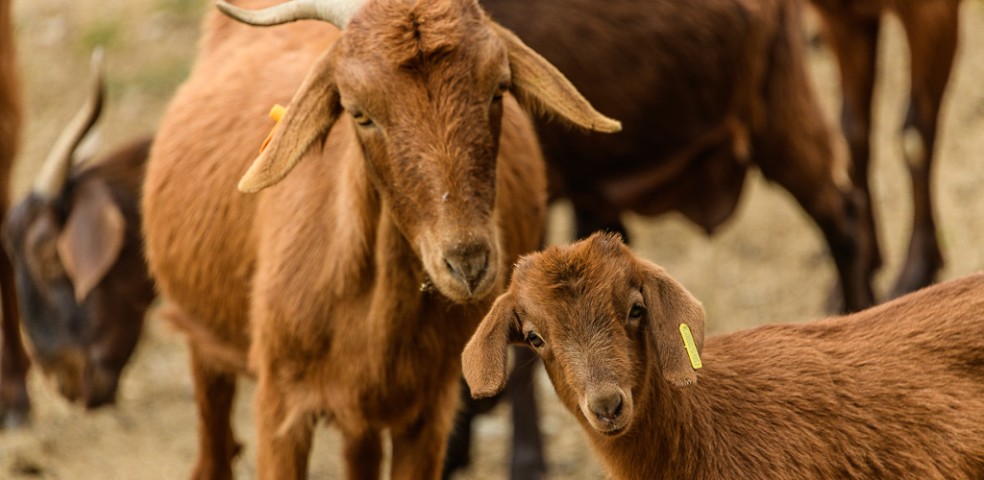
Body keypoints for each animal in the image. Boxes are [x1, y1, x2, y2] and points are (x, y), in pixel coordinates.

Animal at [140, 0, 616, 476]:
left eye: (499, 90)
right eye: (359, 113)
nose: (467, 263)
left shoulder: (429, 409)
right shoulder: (280, 403)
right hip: (202, 334)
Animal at [808, 0, 960, 298]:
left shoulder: (932, 12)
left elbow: (914, 136)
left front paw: (917, 271)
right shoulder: (841, 20)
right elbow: (852, 134)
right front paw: (862, 267)